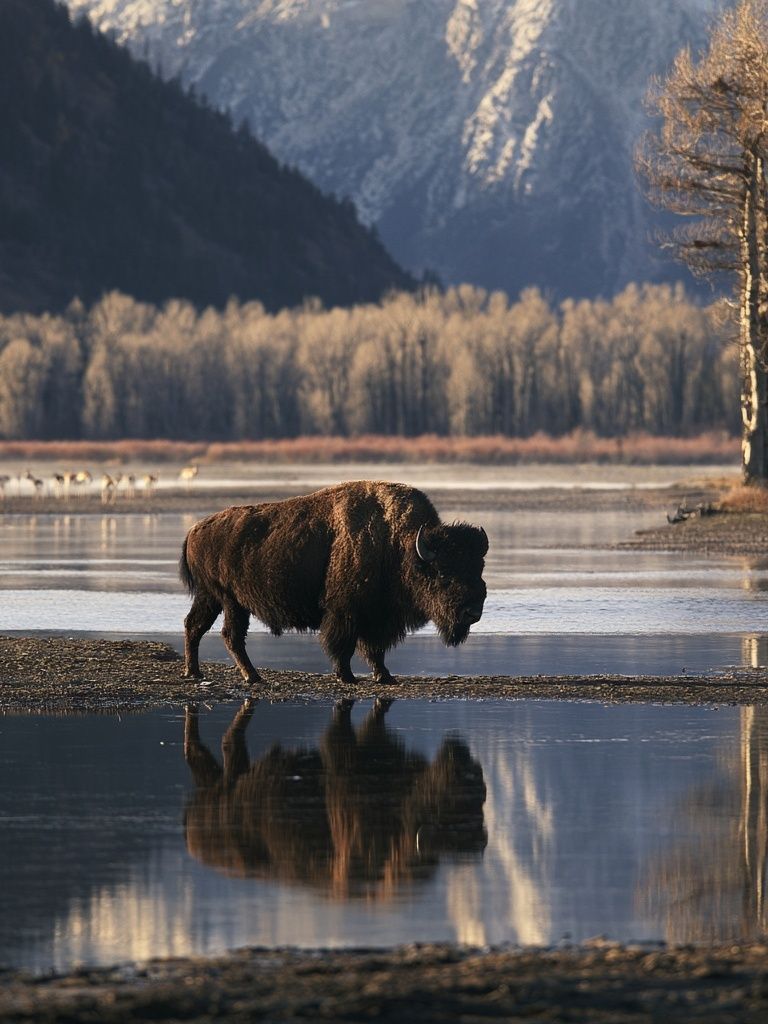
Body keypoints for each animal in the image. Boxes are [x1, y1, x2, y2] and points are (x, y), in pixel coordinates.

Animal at [179, 480, 488, 685]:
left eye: (479, 568)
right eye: (444, 573)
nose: (472, 612)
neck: (398, 546)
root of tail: (194, 530)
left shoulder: (379, 619)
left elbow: (375, 649)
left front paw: (384, 676)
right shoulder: (346, 612)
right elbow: (344, 645)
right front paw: (347, 676)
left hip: (211, 598)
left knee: (194, 626)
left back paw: (194, 672)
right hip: (231, 601)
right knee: (230, 635)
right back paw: (252, 676)